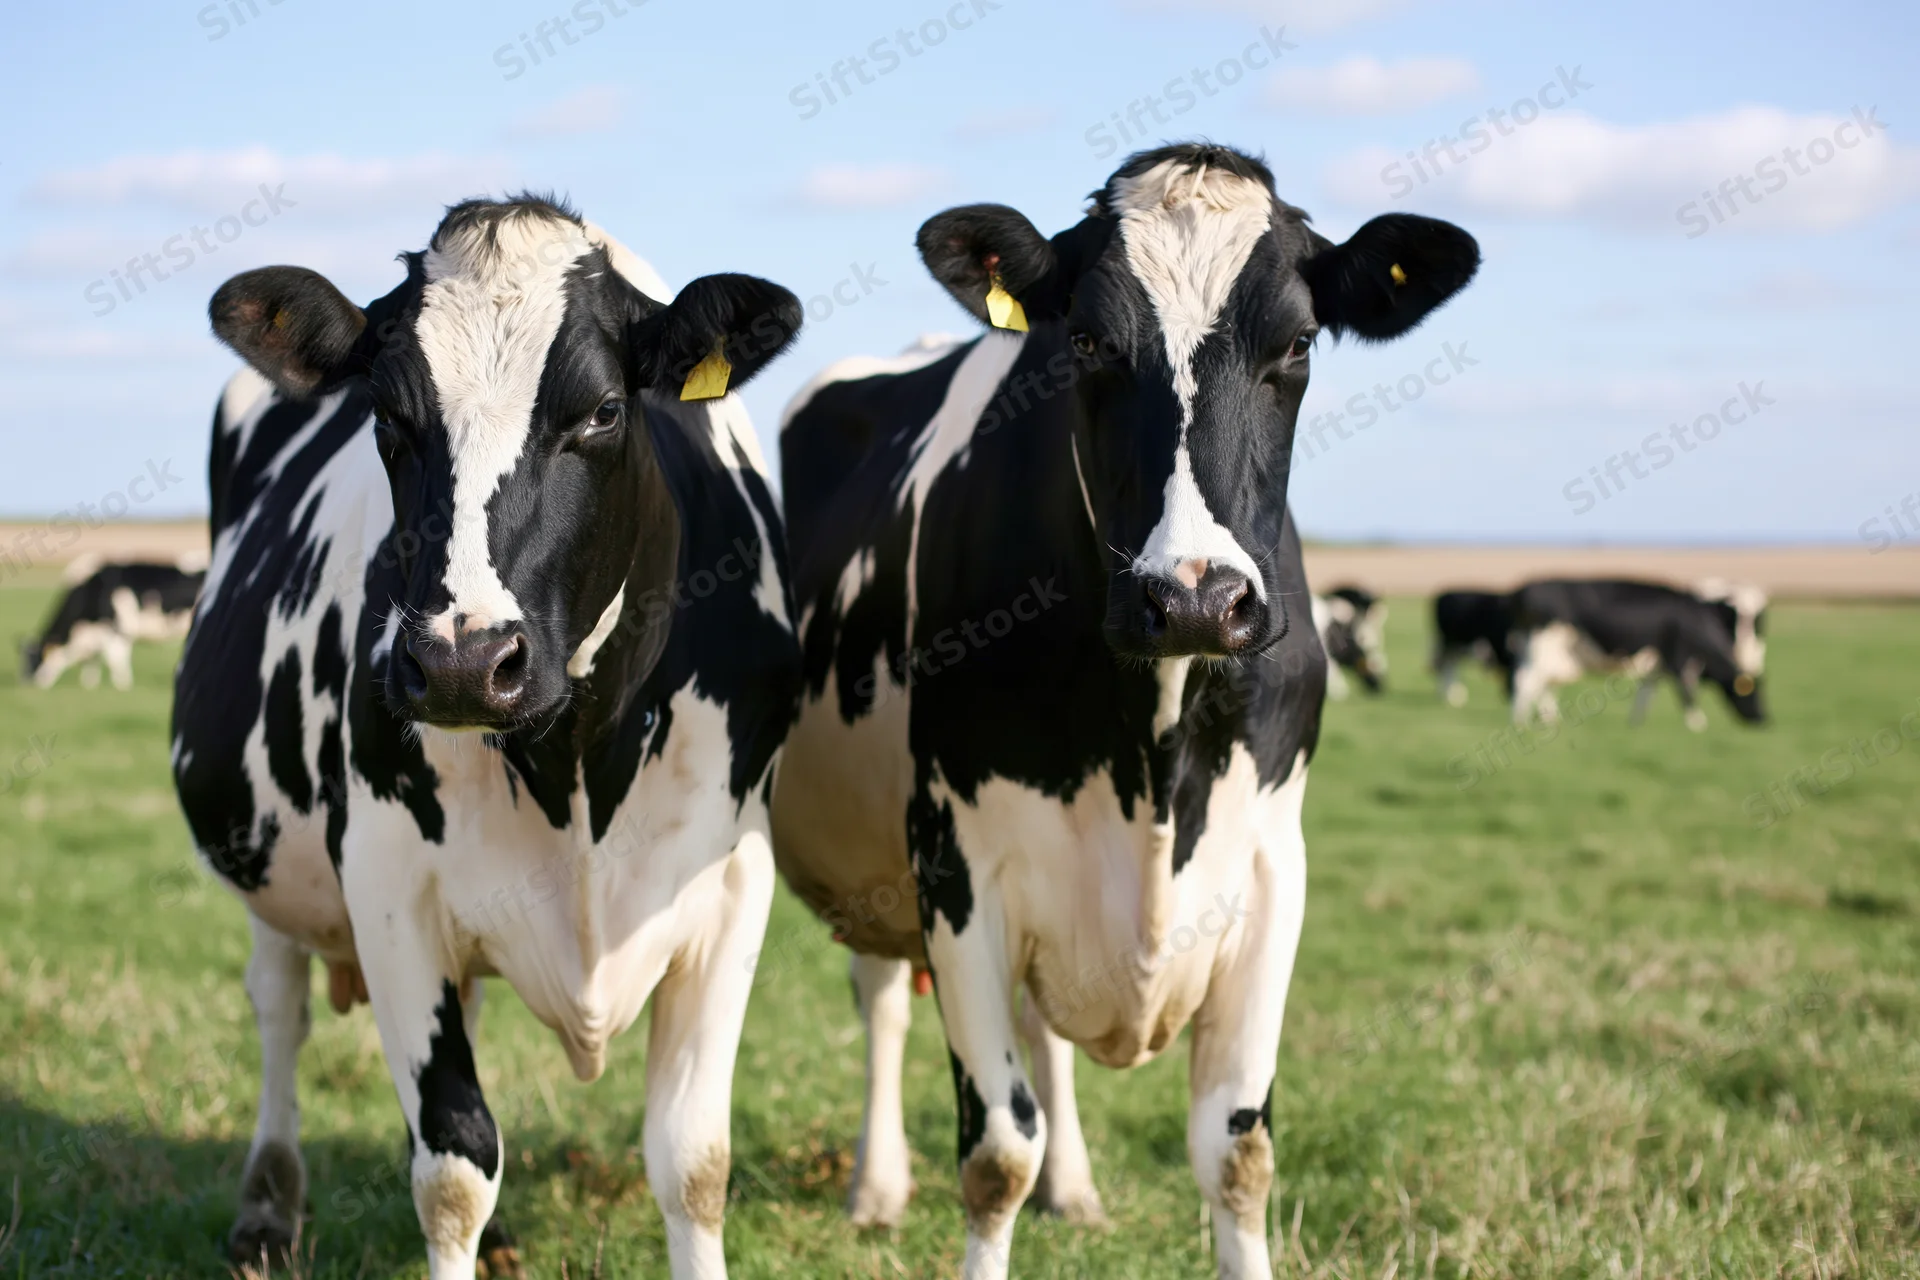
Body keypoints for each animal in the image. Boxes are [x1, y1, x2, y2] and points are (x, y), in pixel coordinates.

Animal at [21, 555, 204, 689]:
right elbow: (93, 659)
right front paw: (90, 684)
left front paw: (122, 686)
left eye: (37, 658)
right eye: (24, 660)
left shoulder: (118, 628)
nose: (28, 684)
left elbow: (115, 658)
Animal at [169, 196, 803, 1279]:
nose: (464, 661)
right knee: (279, 1003)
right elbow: (454, 1167)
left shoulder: (733, 881)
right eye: (387, 417)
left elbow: (692, 1159)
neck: (576, 763)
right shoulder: (386, 883)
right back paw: (266, 1205)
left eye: (602, 410)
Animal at [770, 143, 1478, 1278]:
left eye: (1298, 341)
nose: (1193, 597)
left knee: (1043, 1032)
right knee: (881, 1001)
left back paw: (1077, 1188)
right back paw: (876, 1188)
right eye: (1089, 340)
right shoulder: (956, 861)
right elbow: (995, 1152)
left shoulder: (1271, 867)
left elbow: (1237, 1149)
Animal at [1508, 578, 1766, 730]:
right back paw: (1520, 722)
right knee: (1527, 681)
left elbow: (1646, 694)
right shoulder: (1679, 659)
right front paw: (1697, 724)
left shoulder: (1657, 665)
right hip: (1544, 645)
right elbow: (1686, 692)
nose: (1766, 720)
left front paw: (1635, 724)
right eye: (1753, 693)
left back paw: (1549, 720)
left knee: (1541, 684)